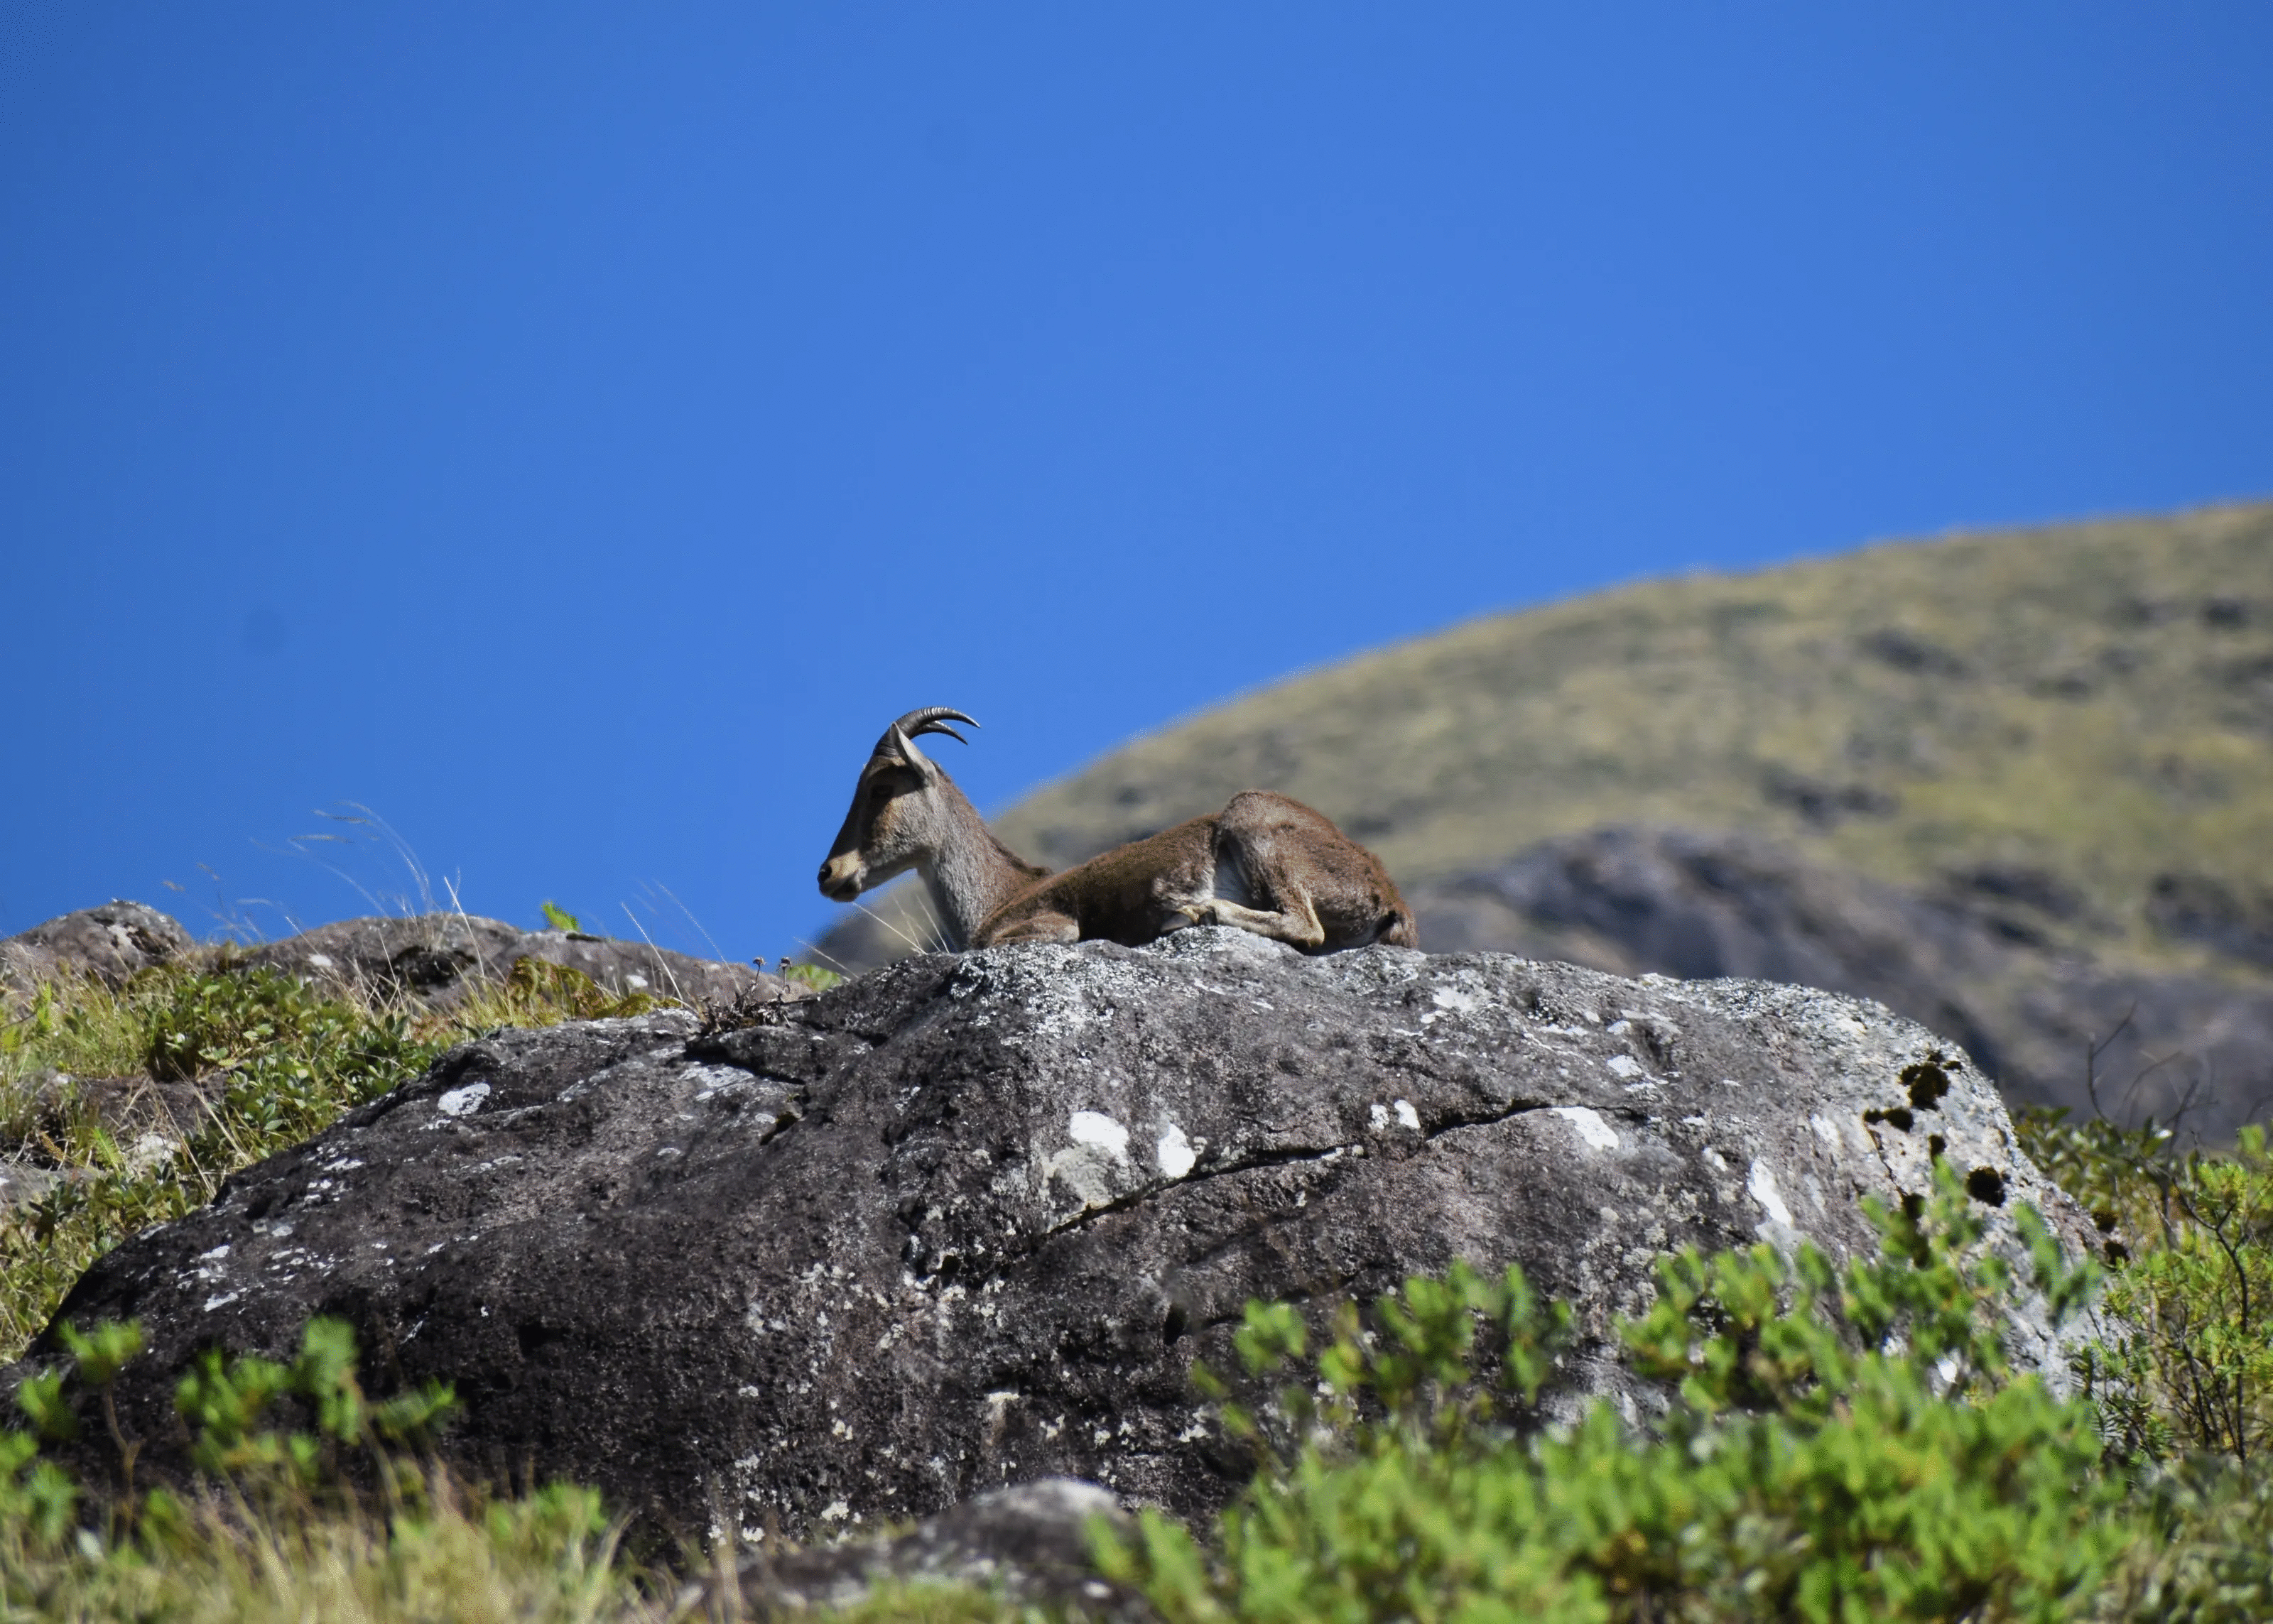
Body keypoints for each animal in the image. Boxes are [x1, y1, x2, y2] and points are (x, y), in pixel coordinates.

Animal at [818, 707, 1418, 955]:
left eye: (879, 787)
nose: (829, 873)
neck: (997, 895)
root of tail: (1388, 898)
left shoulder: (1048, 925)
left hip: (1256, 826)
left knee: (1305, 927)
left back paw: (1197, 911)